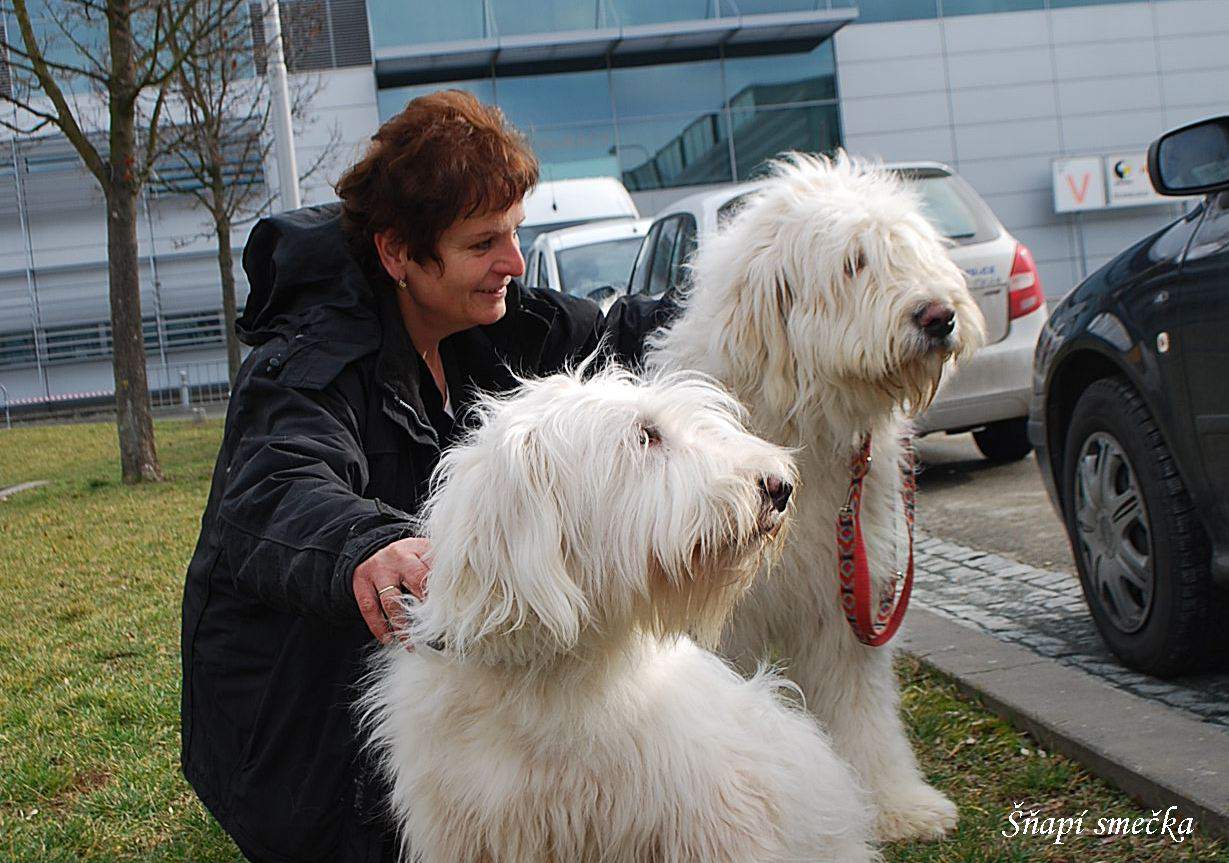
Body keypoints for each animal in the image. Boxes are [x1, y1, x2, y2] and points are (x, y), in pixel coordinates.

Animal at [646, 151, 986, 842]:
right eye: (855, 263)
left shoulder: (846, 598)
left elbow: (861, 708)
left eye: (908, 251)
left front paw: (894, 803)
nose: (939, 316)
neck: (798, 425)